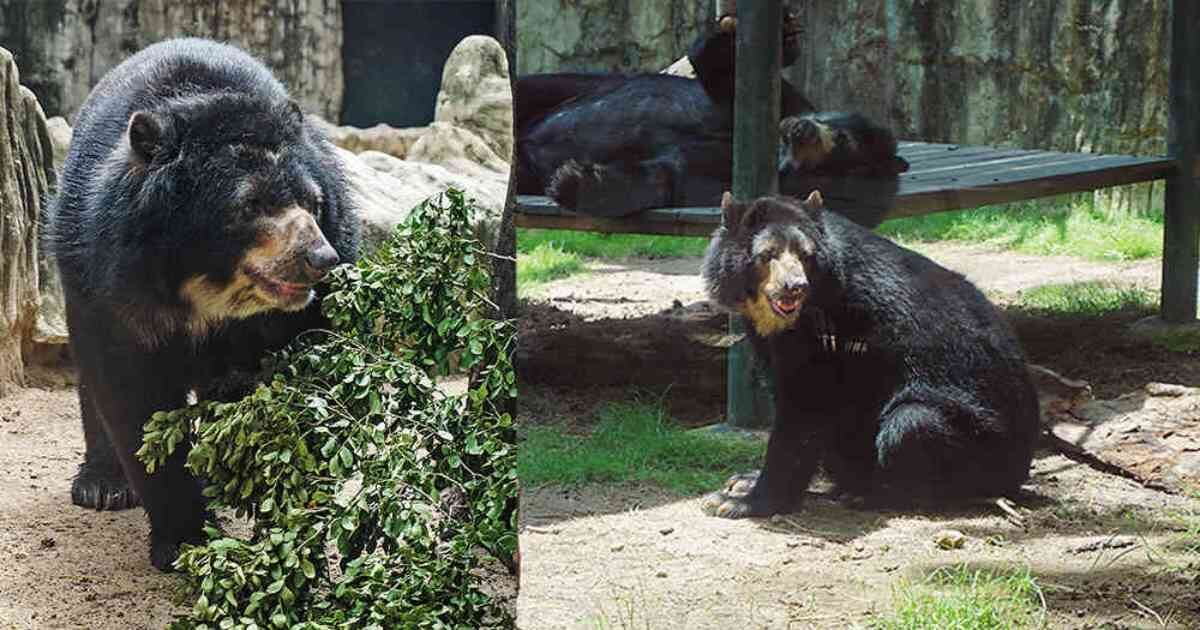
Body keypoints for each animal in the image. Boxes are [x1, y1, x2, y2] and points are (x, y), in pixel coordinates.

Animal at [45, 38, 359, 570]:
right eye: (252, 204)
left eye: (314, 202)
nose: (321, 258)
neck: (208, 289)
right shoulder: (111, 280)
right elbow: (132, 396)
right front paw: (185, 540)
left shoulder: (296, 315)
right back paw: (101, 485)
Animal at [514, 14, 907, 224]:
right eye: (828, 119)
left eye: (843, 144)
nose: (802, 128)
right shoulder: (784, 102)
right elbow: (729, 77)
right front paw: (777, 32)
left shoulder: (726, 176)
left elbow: (669, 175)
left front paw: (577, 179)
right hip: (563, 86)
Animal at [700, 191, 1039, 518]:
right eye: (767, 255)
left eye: (805, 255)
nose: (794, 287)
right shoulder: (766, 333)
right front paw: (743, 482)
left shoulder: (833, 322)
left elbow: (806, 401)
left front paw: (740, 502)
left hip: (984, 447)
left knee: (912, 423)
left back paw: (873, 494)